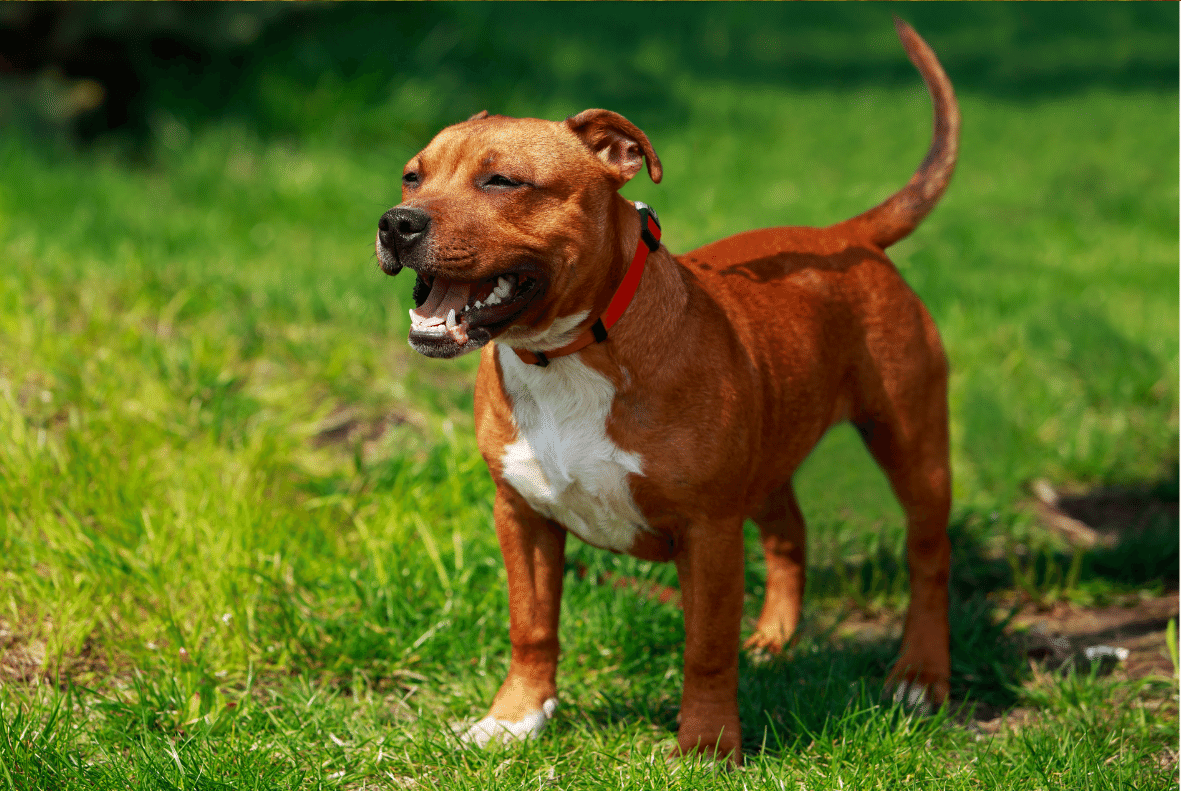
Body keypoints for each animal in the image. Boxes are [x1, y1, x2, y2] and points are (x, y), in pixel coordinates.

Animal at [377, 17, 958, 760]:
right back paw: (774, 639)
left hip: (910, 443)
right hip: (772, 450)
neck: (566, 353)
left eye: (502, 180)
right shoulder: (522, 515)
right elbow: (531, 626)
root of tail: (844, 235)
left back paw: (920, 675)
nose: (397, 221)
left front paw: (706, 745)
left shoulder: (706, 531)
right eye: (411, 176)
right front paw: (514, 719)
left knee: (928, 555)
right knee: (788, 533)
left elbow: (705, 649)